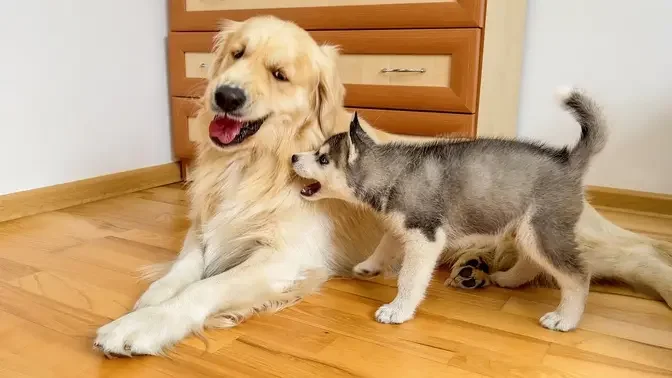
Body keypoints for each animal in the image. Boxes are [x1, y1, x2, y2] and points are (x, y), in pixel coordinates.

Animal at [292, 88, 608, 330]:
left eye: (322, 159)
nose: (294, 156)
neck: (393, 173)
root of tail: (567, 160)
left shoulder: (425, 238)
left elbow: (410, 278)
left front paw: (398, 310)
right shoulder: (404, 226)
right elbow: (384, 245)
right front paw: (369, 266)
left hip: (542, 230)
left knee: (578, 275)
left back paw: (565, 319)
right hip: (524, 229)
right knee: (533, 261)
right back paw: (508, 279)